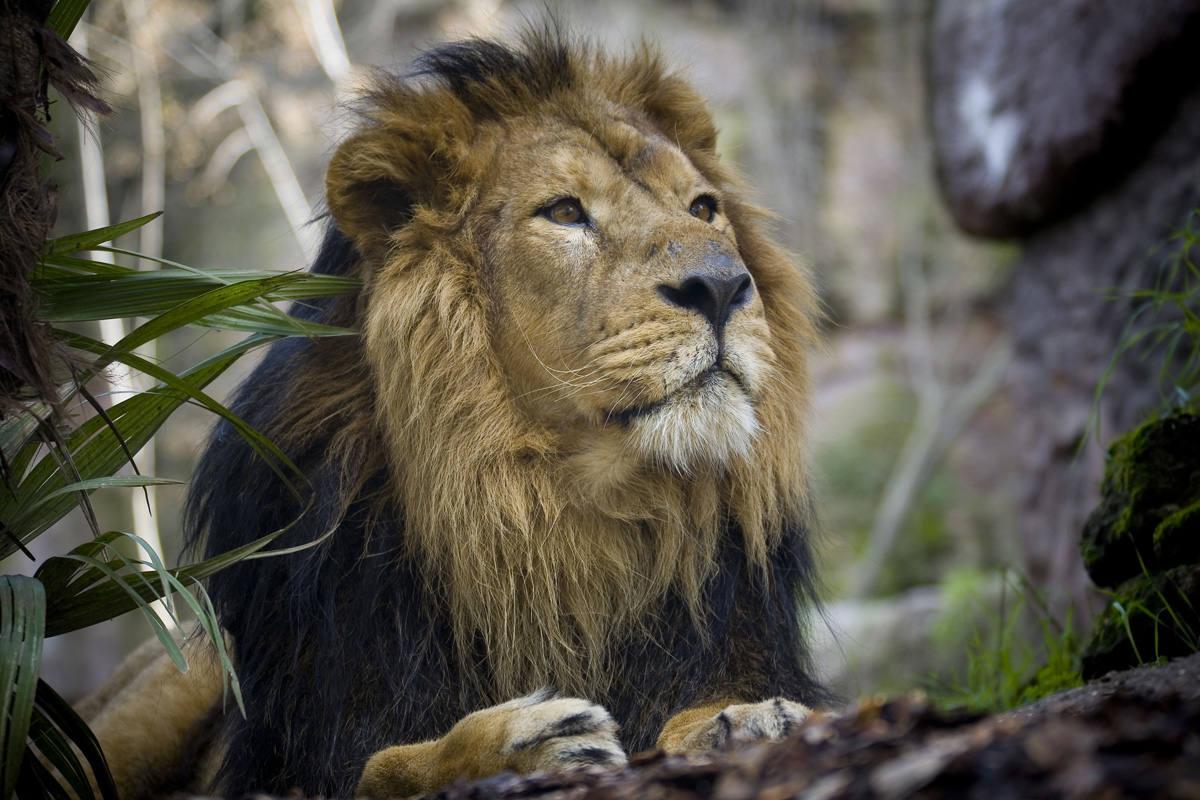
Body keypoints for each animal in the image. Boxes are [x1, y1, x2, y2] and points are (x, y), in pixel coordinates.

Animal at [80, 26, 833, 800]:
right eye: (565, 212)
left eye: (703, 209)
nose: (723, 285)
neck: (566, 515)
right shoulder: (293, 756)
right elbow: (384, 766)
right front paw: (518, 740)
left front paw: (747, 718)